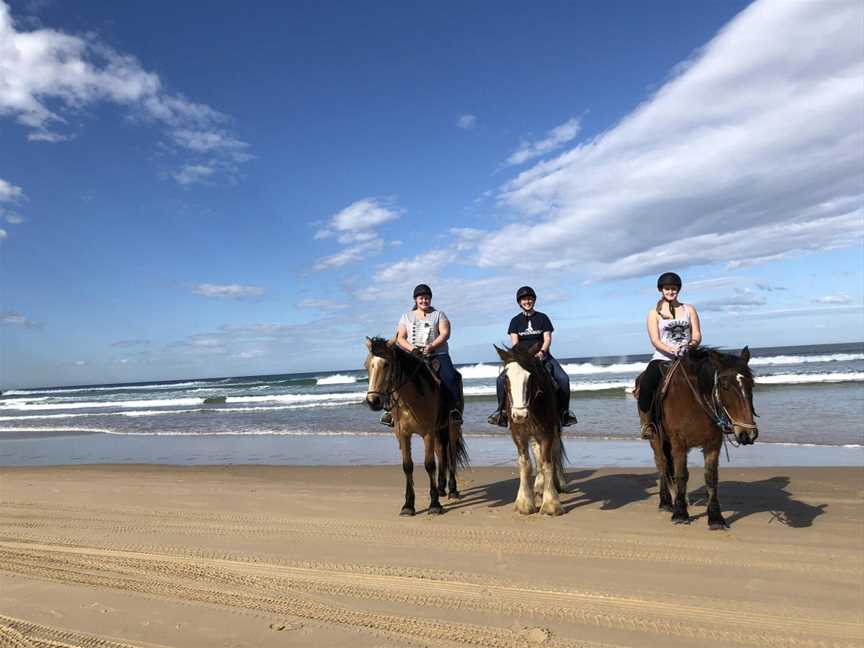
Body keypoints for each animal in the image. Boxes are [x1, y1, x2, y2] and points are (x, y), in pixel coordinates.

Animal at [366, 340, 472, 516]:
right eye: (367, 365)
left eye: (386, 364)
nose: (373, 401)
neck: (411, 399)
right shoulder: (403, 434)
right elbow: (407, 466)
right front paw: (408, 505)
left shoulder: (427, 434)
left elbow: (429, 464)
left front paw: (434, 504)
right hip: (438, 431)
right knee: (441, 454)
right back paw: (441, 489)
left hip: (452, 428)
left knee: (450, 455)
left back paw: (452, 490)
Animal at [492, 344, 568, 516]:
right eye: (506, 379)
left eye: (530, 377)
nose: (520, 415)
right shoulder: (518, 434)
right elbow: (525, 464)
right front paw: (524, 503)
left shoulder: (547, 431)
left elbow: (547, 462)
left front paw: (551, 504)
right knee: (537, 452)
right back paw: (539, 486)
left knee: (555, 451)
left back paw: (560, 482)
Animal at [640, 346, 756, 528]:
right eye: (724, 386)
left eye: (752, 384)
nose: (747, 434)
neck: (696, 401)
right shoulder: (678, 442)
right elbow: (681, 475)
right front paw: (680, 513)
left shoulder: (713, 444)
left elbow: (711, 478)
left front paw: (715, 518)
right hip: (656, 439)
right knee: (662, 465)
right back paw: (665, 502)